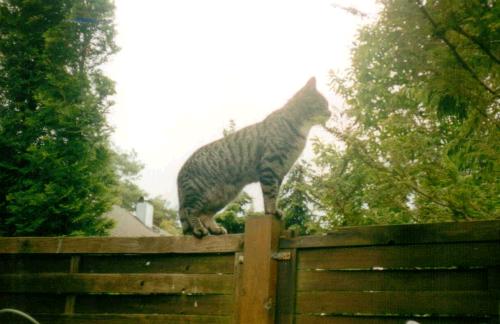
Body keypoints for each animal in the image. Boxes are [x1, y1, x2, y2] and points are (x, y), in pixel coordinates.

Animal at [178, 77, 330, 237]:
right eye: (323, 103)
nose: (330, 112)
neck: (301, 130)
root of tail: (181, 172)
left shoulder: (280, 171)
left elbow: (276, 193)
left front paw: (274, 209)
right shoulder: (270, 166)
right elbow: (270, 194)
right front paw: (271, 211)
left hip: (222, 196)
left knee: (205, 214)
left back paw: (215, 228)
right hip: (199, 193)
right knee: (190, 210)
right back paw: (199, 229)